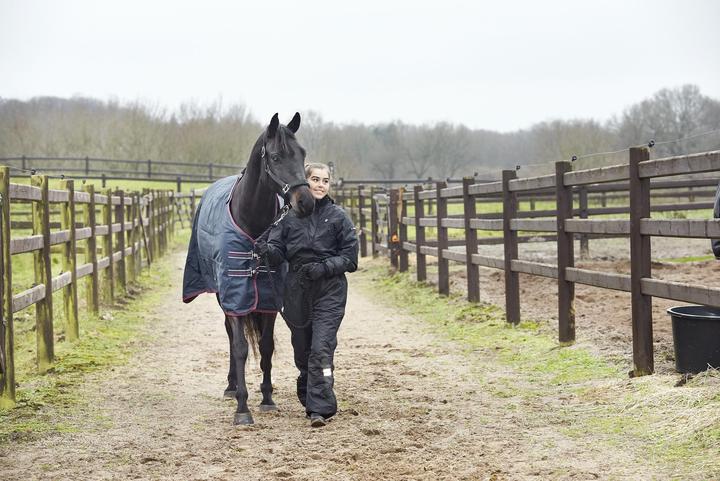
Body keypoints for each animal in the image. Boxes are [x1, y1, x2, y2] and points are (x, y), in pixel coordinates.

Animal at [183, 113, 314, 425]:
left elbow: (266, 346)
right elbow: (241, 347)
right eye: (276, 157)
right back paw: (232, 387)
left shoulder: (268, 298)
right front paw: (242, 408)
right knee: (231, 339)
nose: (306, 202)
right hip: (222, 297)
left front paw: (267, 398)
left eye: (302, 154)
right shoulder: (235, 297)